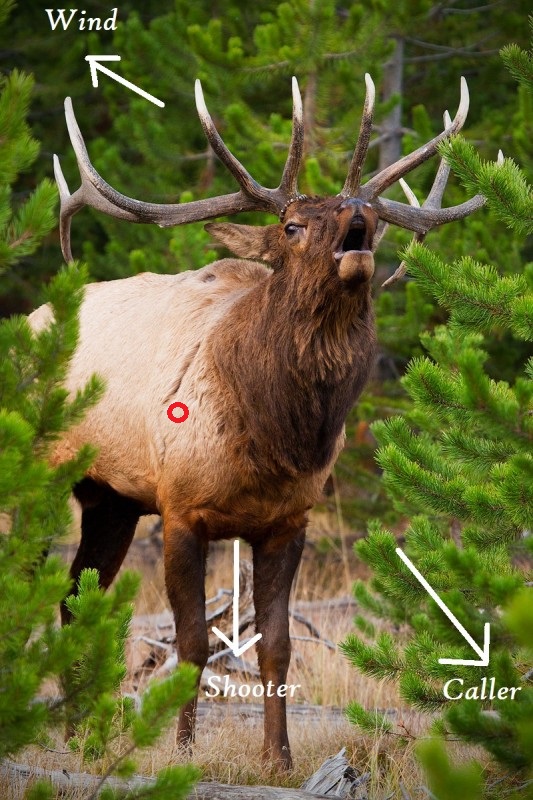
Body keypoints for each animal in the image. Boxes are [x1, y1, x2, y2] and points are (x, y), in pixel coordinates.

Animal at [29, 72, 487, 769]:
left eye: (375, 216)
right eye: (293, 224)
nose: (358, 215)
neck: (277, 438)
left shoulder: (288, 522)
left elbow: (277, 646)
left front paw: (281, 757)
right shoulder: (181, 509)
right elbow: (192, 644)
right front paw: (184, 749)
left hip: (110, 499)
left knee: (71, 603)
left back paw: (83, 732)